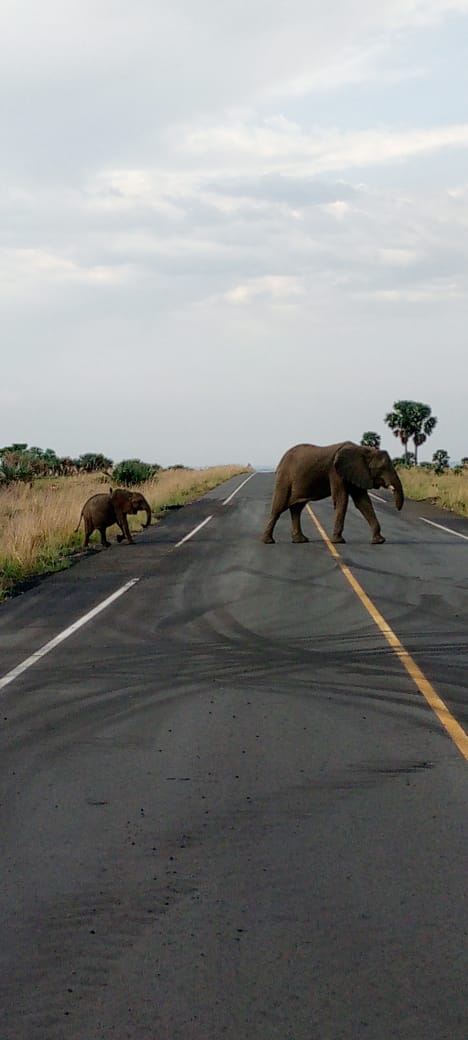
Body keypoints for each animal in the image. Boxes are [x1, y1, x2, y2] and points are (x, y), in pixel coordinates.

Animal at [262, 442, 404, 545]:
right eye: (381, 468)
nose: (398, 509)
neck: (363, 449)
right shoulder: (335, 473)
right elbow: (342, 500)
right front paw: (338, 541)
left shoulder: (356, 473)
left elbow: (363, 502)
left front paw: (379, 541)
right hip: (284, 478)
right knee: (279, 507)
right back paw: (268, 541)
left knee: (297, 509)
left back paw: (300, 540)